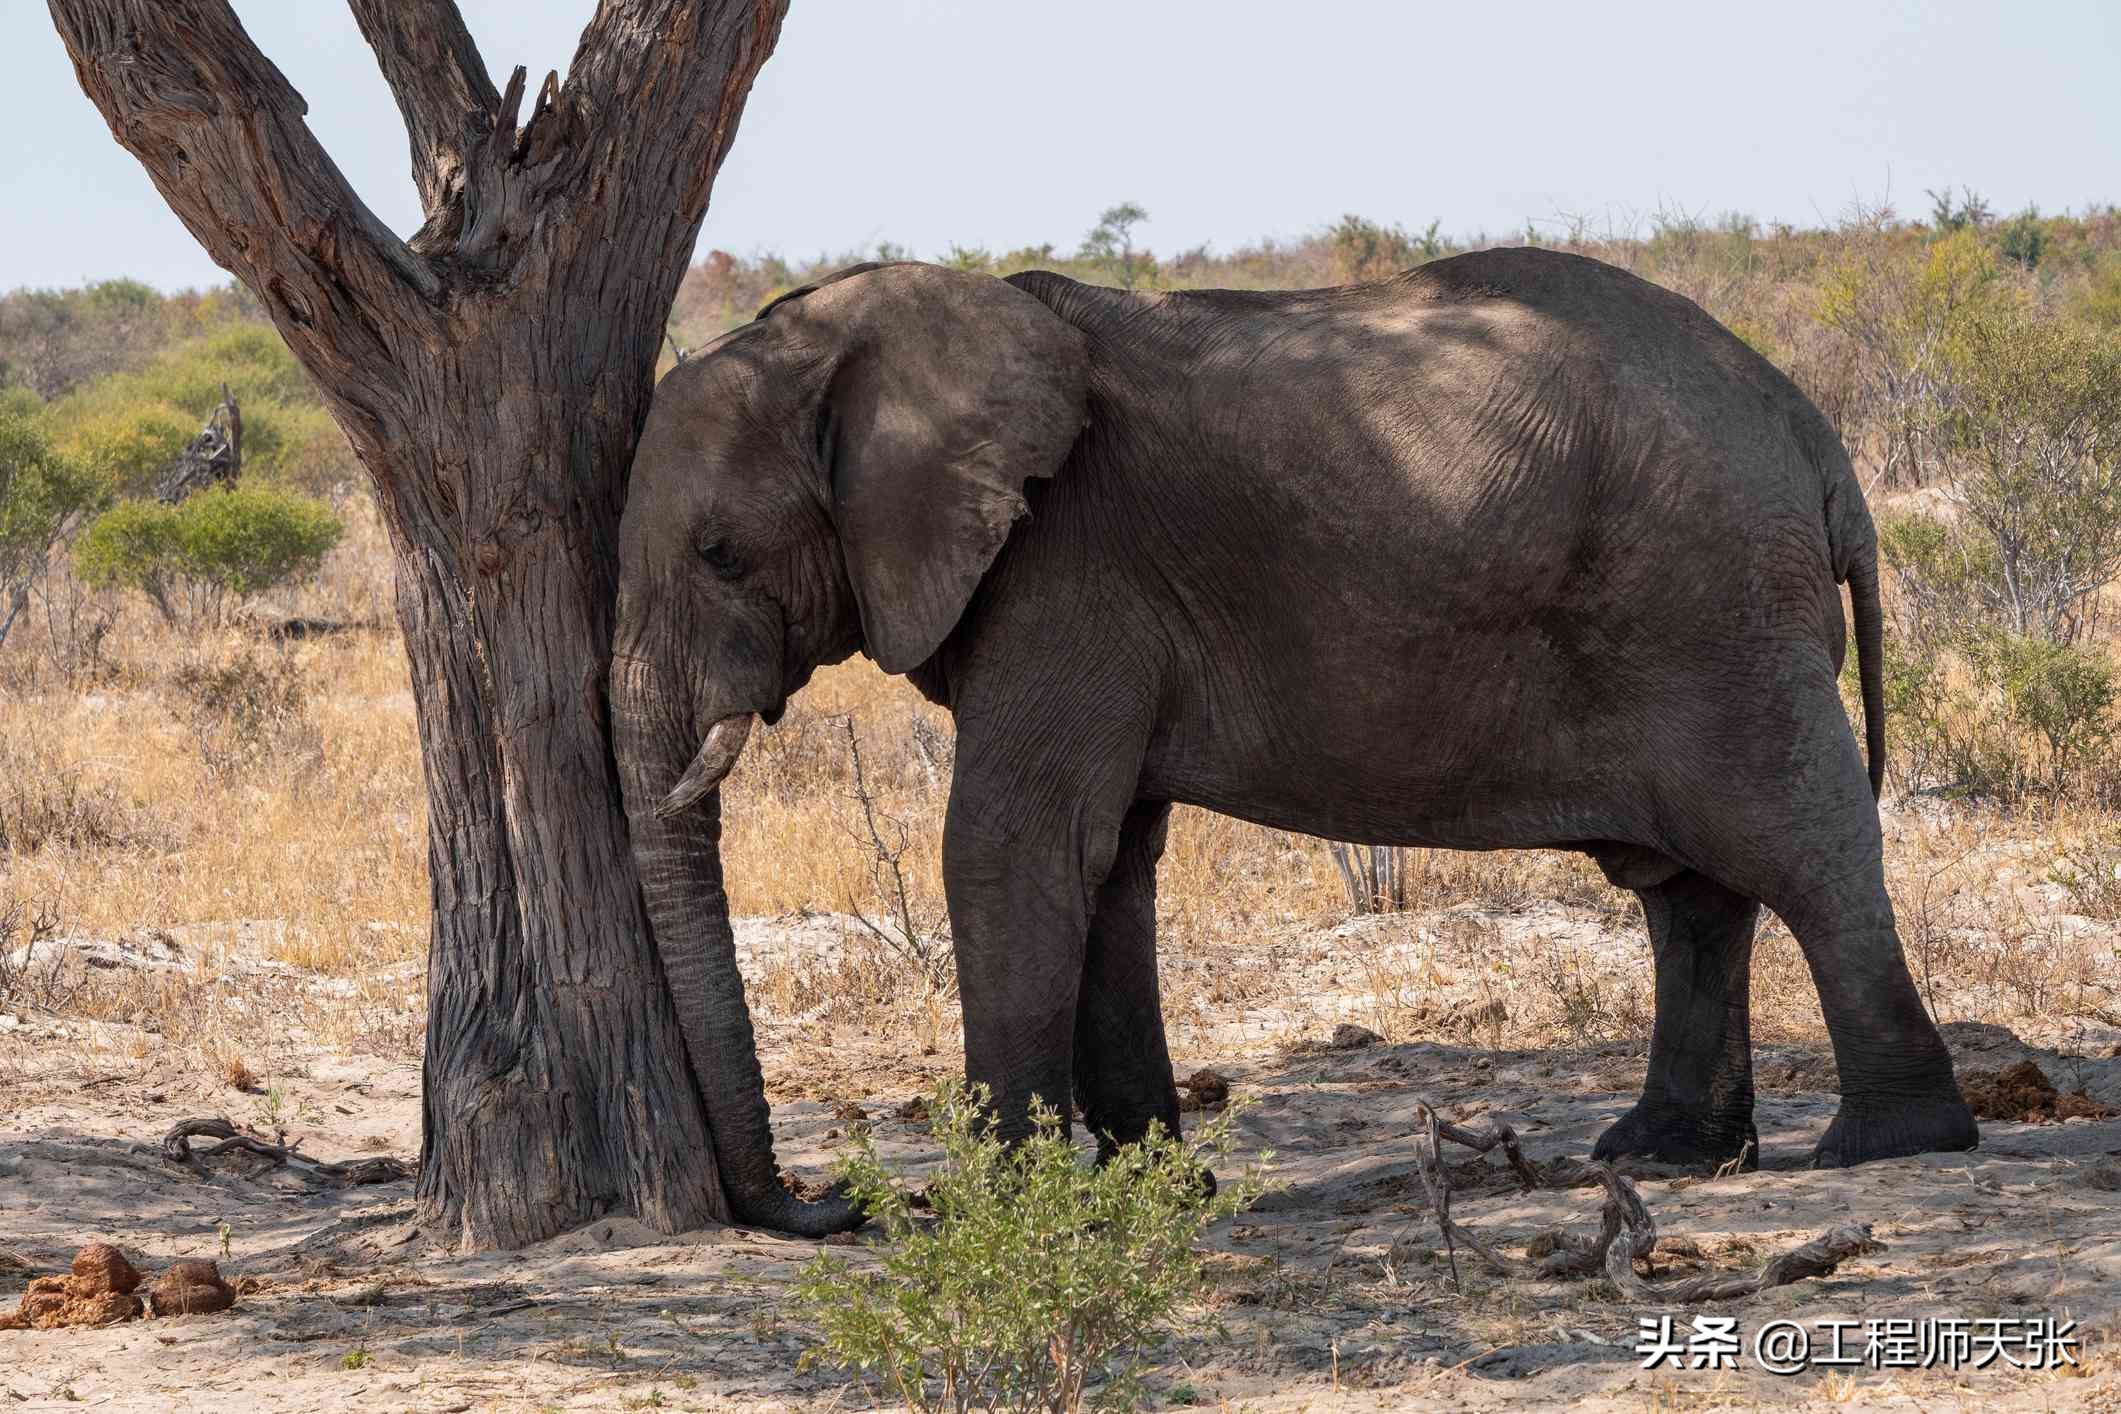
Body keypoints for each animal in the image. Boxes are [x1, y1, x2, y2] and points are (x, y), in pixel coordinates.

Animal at [609, 248, 1979, 1236]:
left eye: (722, 554)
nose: (835, 1203)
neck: (865, 331)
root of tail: (1816, 439)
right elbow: (1110, 865)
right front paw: (1154, 1190)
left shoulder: (1066, 575)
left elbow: (1012, 847)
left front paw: (993, 1205)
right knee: (1690, 888)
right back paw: (1669, 1151)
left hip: (1714, 605)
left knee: (1798, 844)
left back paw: (1892, 1144)